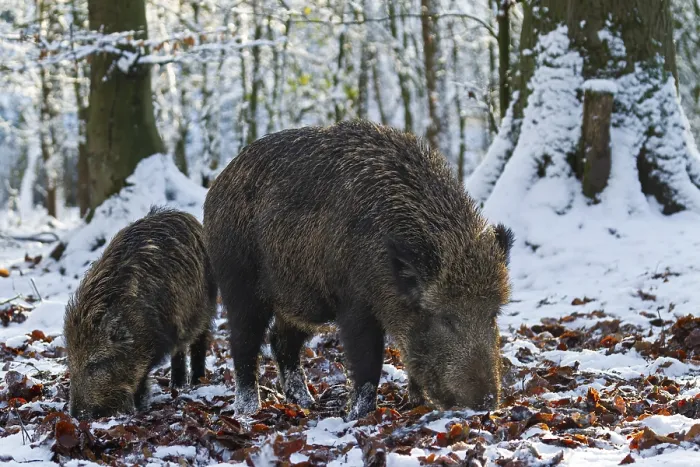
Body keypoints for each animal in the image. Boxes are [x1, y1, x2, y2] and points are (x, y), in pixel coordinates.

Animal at [64, 206, 218, 419]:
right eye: (70, 364)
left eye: (94, 364)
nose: (76, 414)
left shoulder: (155, 339)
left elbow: (142, 374)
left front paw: (139, 406)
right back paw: (176, 384)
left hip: (204, 308)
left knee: (199, 340)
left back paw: (195, 381)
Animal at [203, 120, 514, 420]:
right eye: (445, 318)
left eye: (492, 314)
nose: (487, 402)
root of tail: (218, 184)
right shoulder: (355, 304)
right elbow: (368, 362)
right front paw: (358, 415)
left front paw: (417, 403)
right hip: (238, 282)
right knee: (244, 344)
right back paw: (249, 410)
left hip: (299, 300)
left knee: (281, 342)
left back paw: (306, 403)